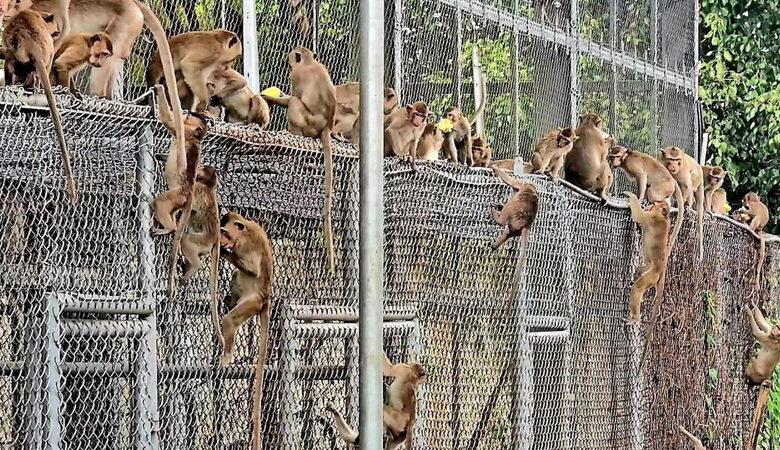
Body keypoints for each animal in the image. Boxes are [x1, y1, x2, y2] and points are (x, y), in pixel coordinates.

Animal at [2, 9, 78, 202]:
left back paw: (14, 84)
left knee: (11, 68)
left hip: (13, 57)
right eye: (56, 29)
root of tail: (32, 44)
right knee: (33, 76)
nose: (56, 33)